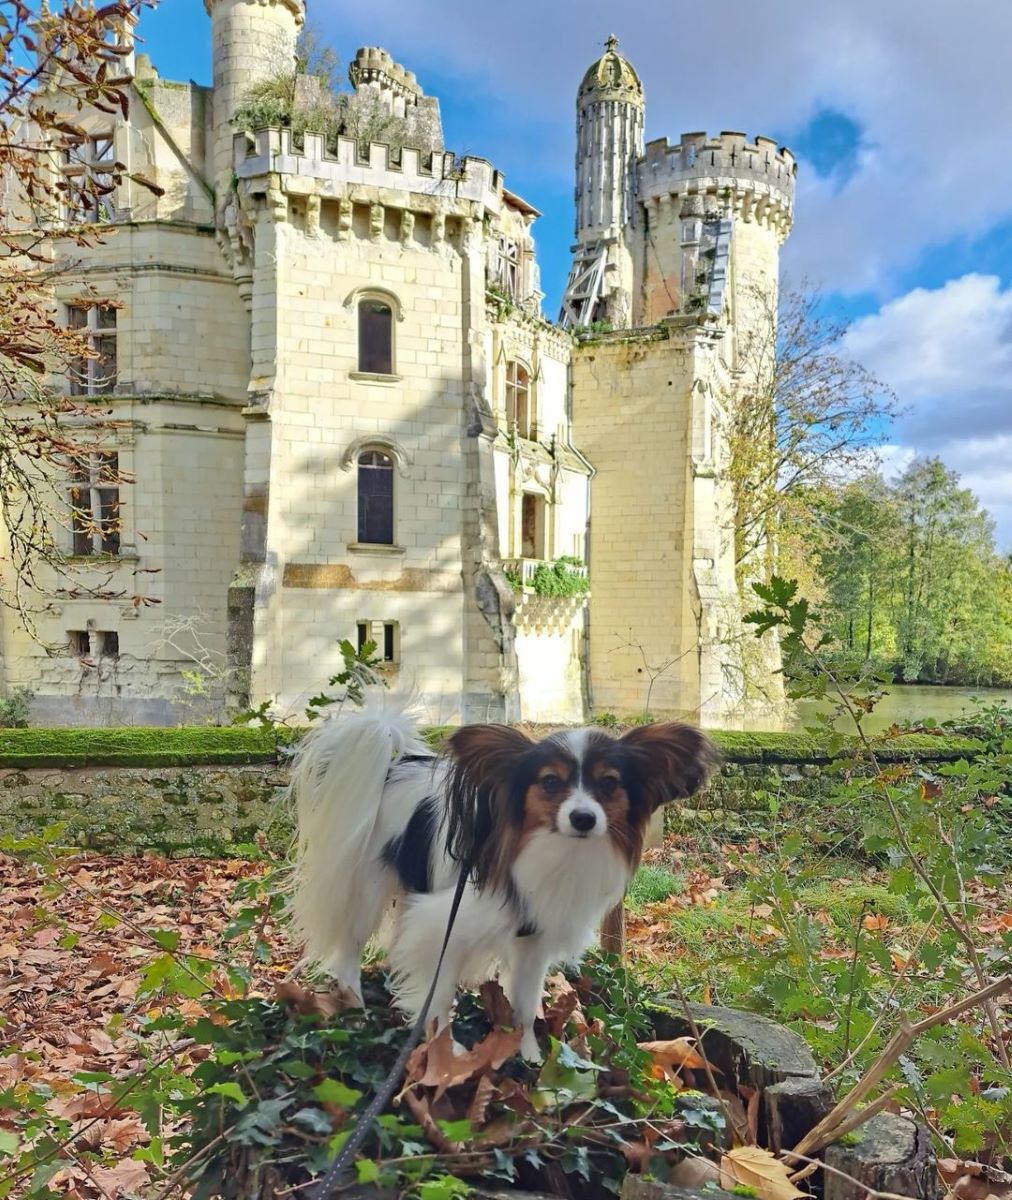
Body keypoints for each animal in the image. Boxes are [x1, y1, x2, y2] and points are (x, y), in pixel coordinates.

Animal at [286, 696, 720, 1060]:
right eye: (550, 782)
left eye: (609, 783)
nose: (583, 818)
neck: (554, 853)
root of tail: (392, 768)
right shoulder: (440, 928)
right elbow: (438, 996)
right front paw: (446, 1054)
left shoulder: (533, 945)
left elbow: (525, 1009)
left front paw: (528, 1056)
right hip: (366, 893)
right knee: (349, 951)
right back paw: (355, 1007)